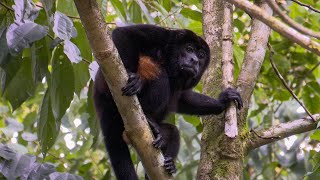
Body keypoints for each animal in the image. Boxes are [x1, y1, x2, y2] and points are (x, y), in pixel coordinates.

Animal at [92, 24, 242, 179]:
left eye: (201, 56)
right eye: (189, 49)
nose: (194, 60)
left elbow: (182, 98)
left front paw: (224, 100)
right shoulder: (164, 36)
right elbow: (124, 33)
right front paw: (131, 76)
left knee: (173, 132)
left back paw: (167, 161)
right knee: (160, 74)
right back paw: (147, 115)